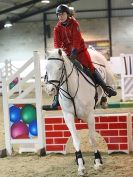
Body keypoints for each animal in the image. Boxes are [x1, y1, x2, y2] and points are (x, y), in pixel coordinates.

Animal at [44, 48, 115, 176]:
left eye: (60, 68)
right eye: (47, 68)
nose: (50, 90)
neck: (71, 91)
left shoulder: (90, 116)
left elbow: (92, 139)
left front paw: (98, 162)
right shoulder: (68, 116)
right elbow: (76, 140)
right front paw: (80, 165)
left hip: (108, 77)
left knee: (107, 87)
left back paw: (104, 99)